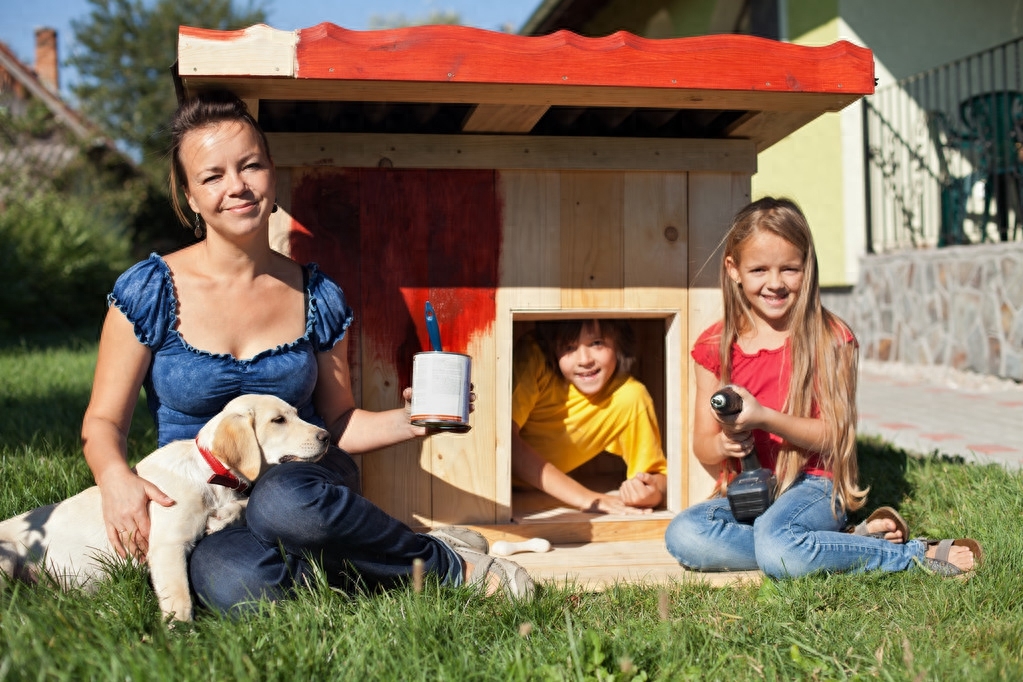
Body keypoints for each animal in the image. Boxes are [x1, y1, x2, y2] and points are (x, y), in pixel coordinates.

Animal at [0, 394, 327, 625]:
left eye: (297, 414)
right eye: (278, 420)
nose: (325, 436)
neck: (209, 473)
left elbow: (246, 502)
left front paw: (222, 518)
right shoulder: (168, 546)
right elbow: (179, 599)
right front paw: (182, 637)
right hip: (6, 557)